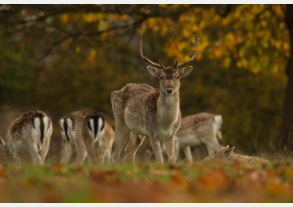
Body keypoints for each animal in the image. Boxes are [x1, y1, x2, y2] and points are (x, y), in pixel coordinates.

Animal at [111, 33, 198, 164]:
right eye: (161, 77)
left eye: (178, 76)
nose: (169, 89)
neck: (165, 123)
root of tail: (115, 93)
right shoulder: (152, 134)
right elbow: (160, 160)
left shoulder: (171, 135)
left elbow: (172, 159)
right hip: (120, 121)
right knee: (116, 153)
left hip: (137, 131)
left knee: (129, 151)